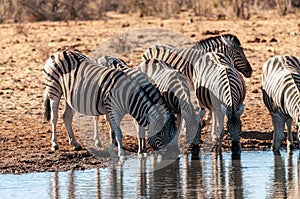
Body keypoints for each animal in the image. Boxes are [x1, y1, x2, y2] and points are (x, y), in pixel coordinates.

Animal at [42, 50, 178, 159]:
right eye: (160, 134)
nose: (174, 156)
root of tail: (60, 52)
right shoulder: (114, 110)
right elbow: (118, 132)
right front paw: (122, 154)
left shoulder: (119, 111)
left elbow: (117, 130)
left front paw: (115, 149)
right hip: (54, 90)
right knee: (55, 118)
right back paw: (55, 144)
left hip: (70, 96)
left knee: (67, 117)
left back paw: (74, 143)